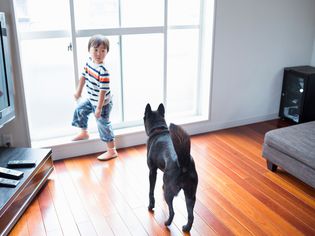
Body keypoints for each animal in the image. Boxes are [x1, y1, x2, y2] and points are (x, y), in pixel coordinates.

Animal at [144, 103, 199, 232]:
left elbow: (151, 191)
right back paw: (186, 228)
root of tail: (184, 163)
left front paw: (150, 206)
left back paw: (167, 223)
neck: (159, 129)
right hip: (190, 194)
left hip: (171, 193)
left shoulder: (152, 171)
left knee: (172, 211)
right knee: (191, 215)